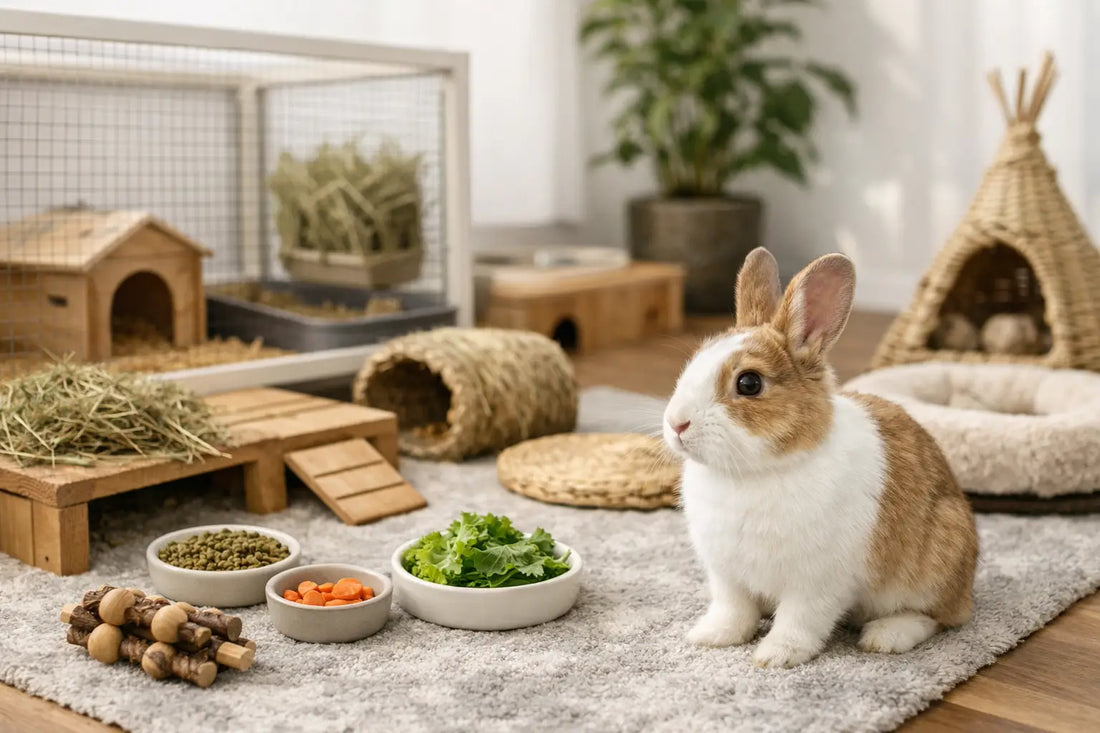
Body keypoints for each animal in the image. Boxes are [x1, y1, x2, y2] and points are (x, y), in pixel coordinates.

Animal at [663, 247, 978, 668]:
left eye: (749, 383)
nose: (676, 423)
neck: (758, 471)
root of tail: (967, 586)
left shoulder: (816, 583)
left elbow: (799, 621)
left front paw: (776, 656)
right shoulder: (727, 576)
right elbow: (734, 610)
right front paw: (711, 637)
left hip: (935, 563)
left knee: (936, 617)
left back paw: (885, 637)